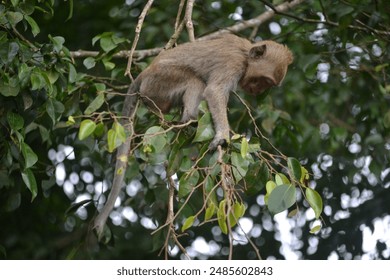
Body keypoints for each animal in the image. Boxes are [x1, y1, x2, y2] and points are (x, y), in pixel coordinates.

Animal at [92, 32, 292, 238]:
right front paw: (222, 136)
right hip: (159, 82)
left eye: (267, 85)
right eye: (263, 81)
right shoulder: (232, 64)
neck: (245, 56)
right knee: (194, 80)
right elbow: (214, 91)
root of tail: (143, 74)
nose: (258, 90)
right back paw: (189, 118)